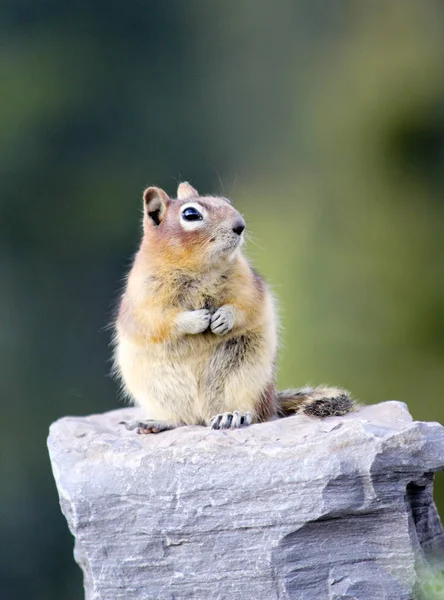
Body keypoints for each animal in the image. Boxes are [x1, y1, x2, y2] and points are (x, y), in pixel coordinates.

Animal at [112, 180, 356, 434]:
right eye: (190, 214)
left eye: (226, 202)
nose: (240, 226)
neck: (198, 268)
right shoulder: (142, 299)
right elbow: (158, 321)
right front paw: (197, 320)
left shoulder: (248, 283)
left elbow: (247, 305)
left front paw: (223, 317)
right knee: (184, 420)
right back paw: (156, 422)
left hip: (246, 380)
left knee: (252, 413)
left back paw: (230, 416)